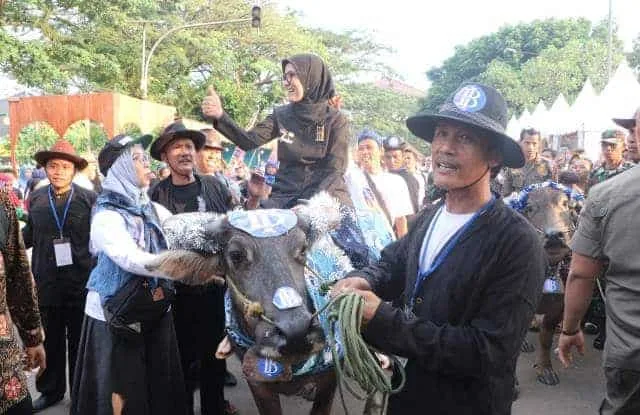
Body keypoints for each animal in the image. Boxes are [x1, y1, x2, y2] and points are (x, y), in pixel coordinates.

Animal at [508, 182, 584, 386]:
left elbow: (546, 338)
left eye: (565, 204)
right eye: (529, 208)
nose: (554, 236)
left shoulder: (559, 306)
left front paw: (545, 369)